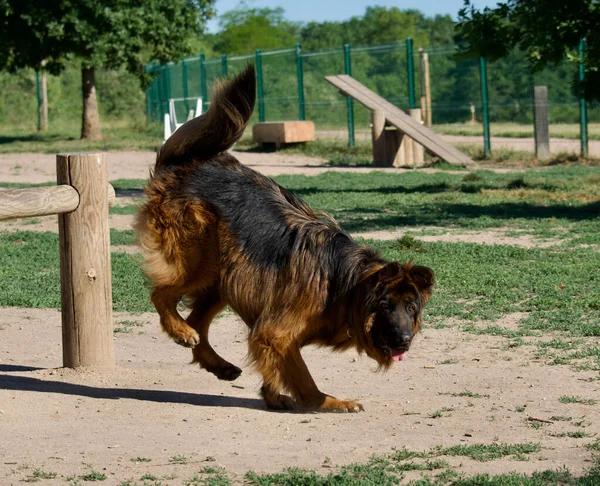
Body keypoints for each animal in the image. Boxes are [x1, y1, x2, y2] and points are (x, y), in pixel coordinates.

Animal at [135, 66, 436, 412]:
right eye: (386, 306)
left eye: (410, 307)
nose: (405, 340)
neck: (343, 283)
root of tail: (185, 166)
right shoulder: (275, 332)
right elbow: (302, 377)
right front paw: (328, 402)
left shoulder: (274, 331)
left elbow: (276, 366)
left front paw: (273, 396)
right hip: (201, 264)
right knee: (161, 295)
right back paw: (181, 331)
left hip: (224, 278)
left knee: (198, 322)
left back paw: (217, 362)